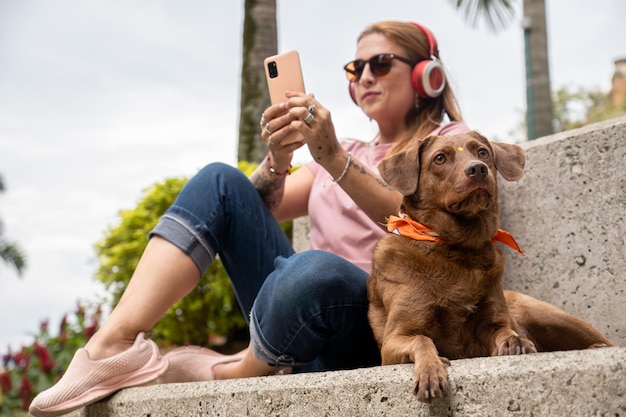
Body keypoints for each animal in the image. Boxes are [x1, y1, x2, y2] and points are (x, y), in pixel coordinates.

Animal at [368, 132, 612, 402]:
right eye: (439, 158)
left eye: (482, 152)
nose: (477, 169)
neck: (457, 250)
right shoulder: (392, 342)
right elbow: (422, 339)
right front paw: (431, 370)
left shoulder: (491, 323)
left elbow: (505, 331)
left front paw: (516, 342)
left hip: (547, 317)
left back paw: (596, 347)